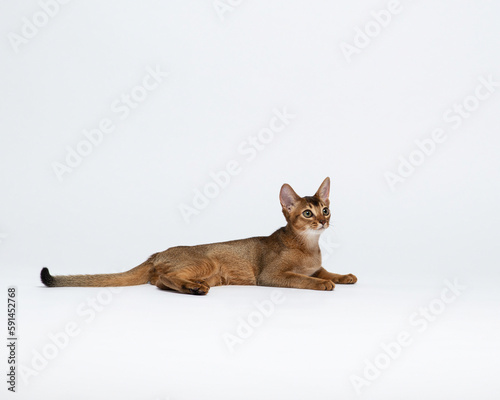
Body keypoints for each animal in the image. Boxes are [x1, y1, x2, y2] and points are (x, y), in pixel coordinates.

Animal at [41, 177, 358, 294]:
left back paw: (192, 286)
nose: (323, 221)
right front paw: (325, 284)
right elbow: (304, 279)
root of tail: (158, 252)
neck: (309, 246)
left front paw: (344, 276)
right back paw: (193, 288)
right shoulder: (271, 275)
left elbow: (325, 270)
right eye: (307, 213)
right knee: (163, 278)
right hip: (207, 261)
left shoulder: (317, 265)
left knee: (159, 280)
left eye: (325, 210)